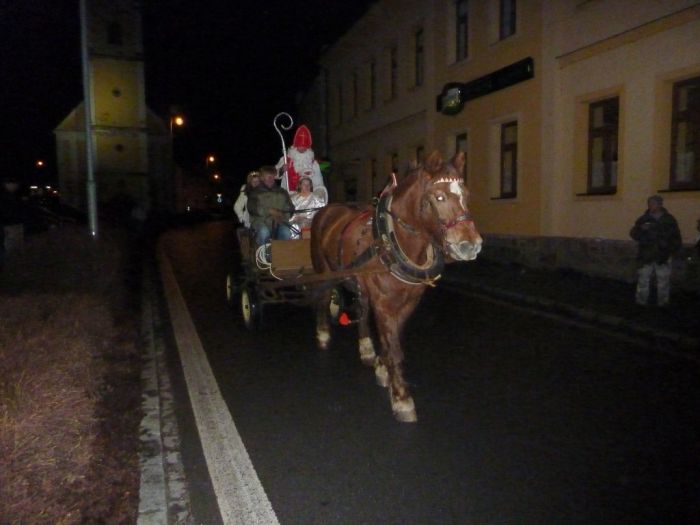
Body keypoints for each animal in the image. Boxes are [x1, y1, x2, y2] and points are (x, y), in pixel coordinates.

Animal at [314, 151, 484, 422]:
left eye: (466, 195)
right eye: (439, 196)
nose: (470, 245)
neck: (393, 240)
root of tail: (326, 210)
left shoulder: (407, 302)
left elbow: (391, 341)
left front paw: (384, 370)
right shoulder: (384, 303)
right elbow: (394, 347)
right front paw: (402, 398)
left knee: (362, 309)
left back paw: (366, 348)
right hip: (324, 270)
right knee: (322, 297)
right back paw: (322, 334)